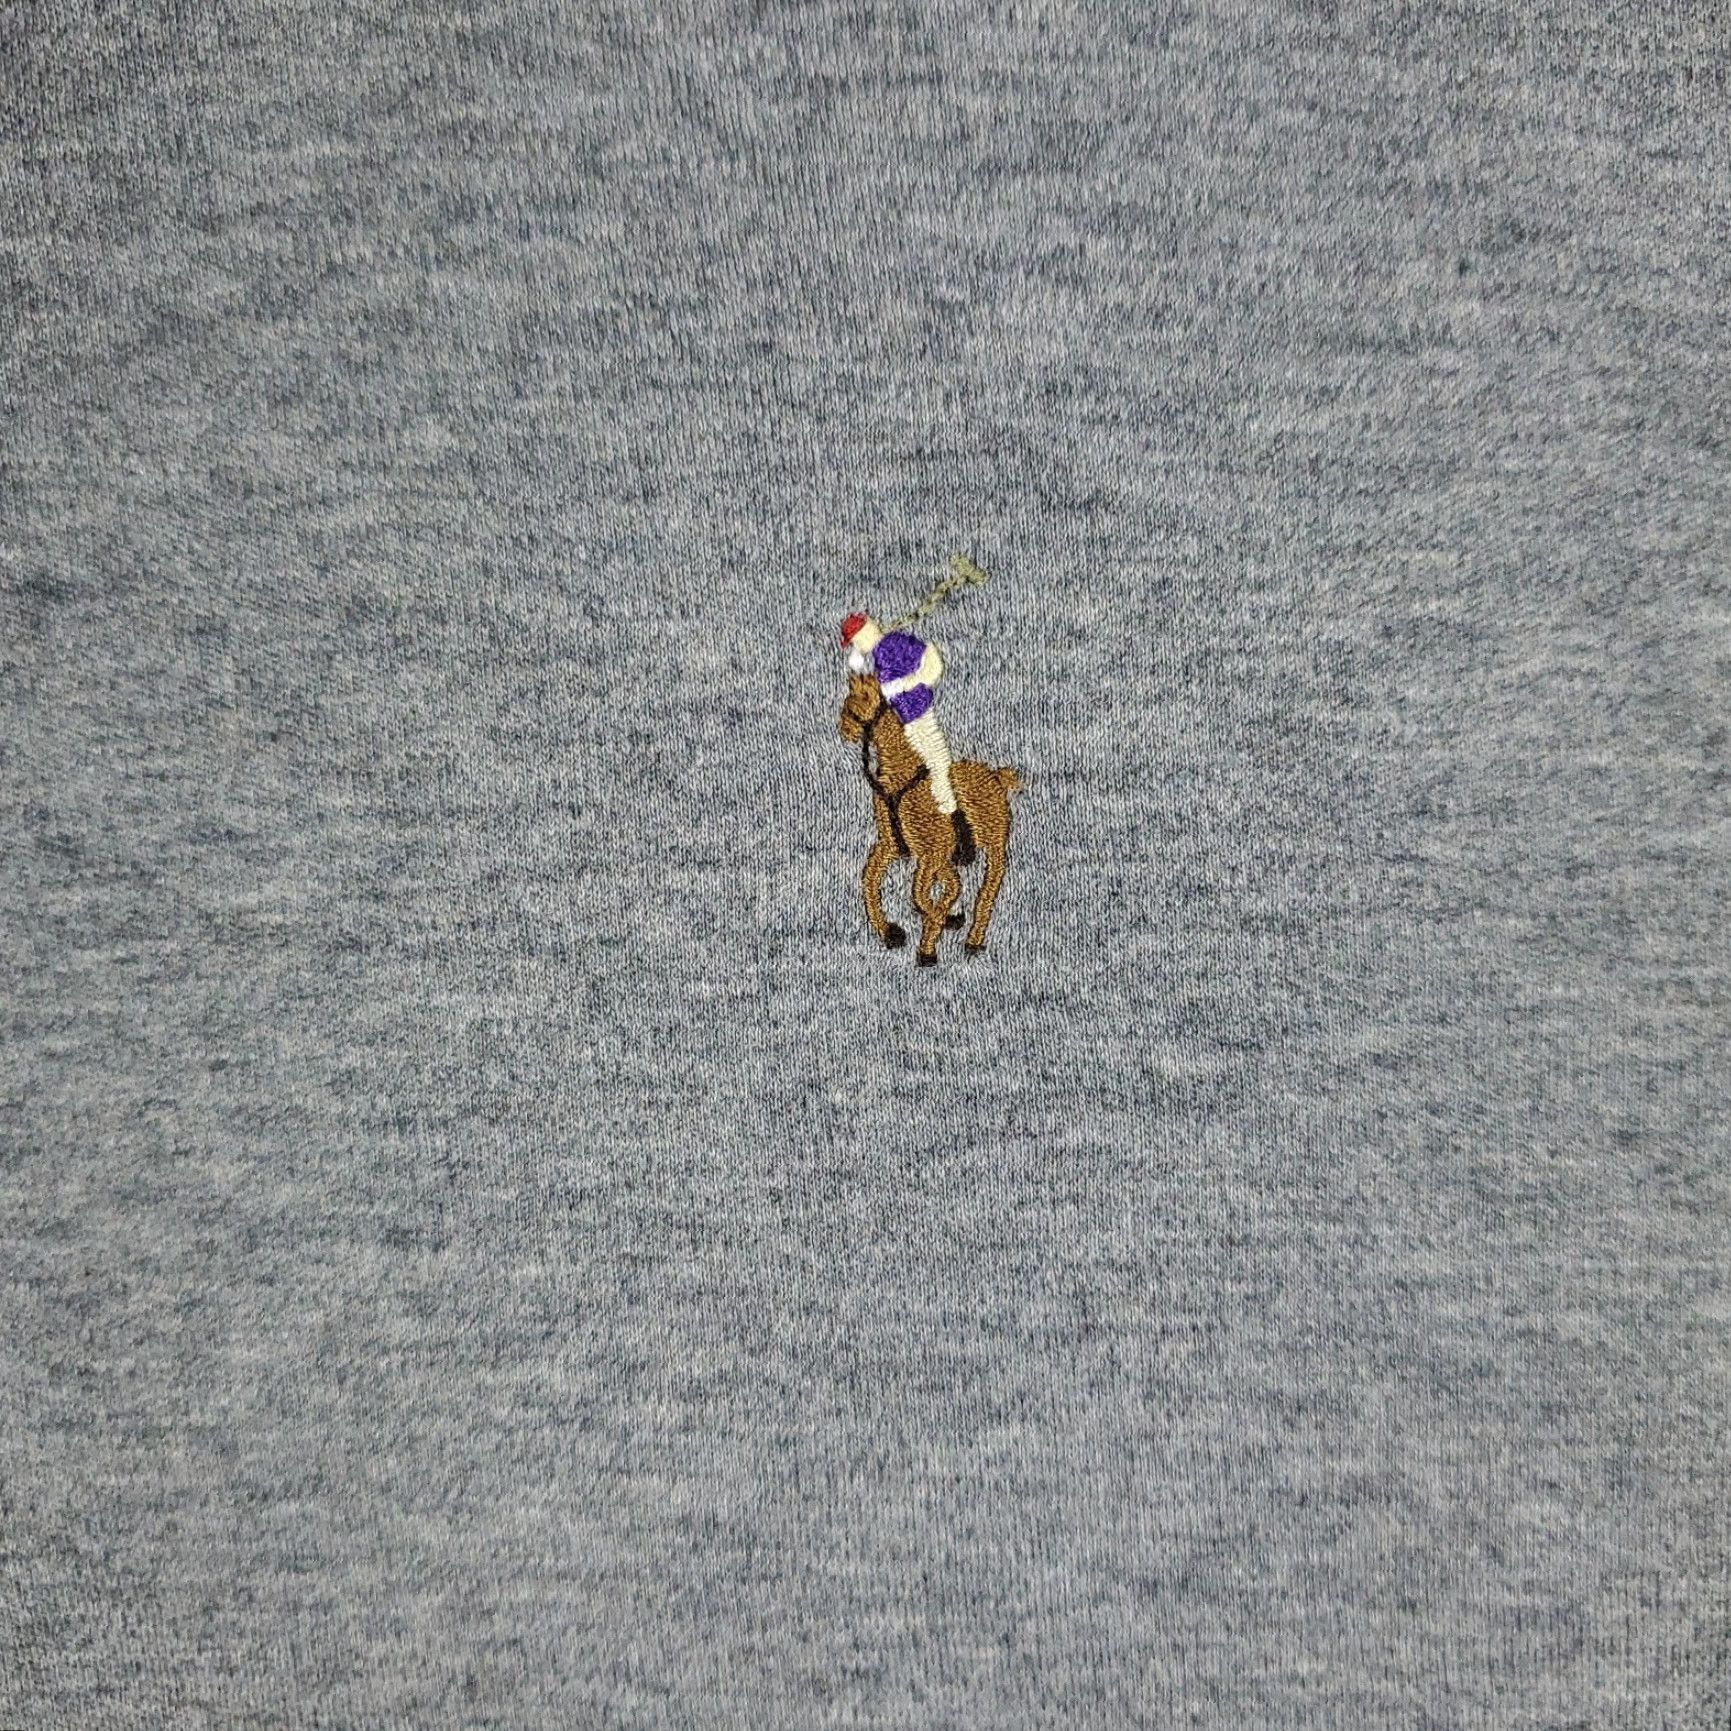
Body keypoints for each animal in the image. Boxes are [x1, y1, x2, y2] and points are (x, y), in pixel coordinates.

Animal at [838, 673, 1019, 964]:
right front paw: (891, 932)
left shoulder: (930, 853)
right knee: (953, 880)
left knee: (989, 885)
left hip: (994, 844)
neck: (900, 779)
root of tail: (996, 776)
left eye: (863, 698)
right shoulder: (892, 846)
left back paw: (973, 939)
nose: (844, 728)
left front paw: (929, 944)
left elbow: (921, 895)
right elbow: (872, 878)